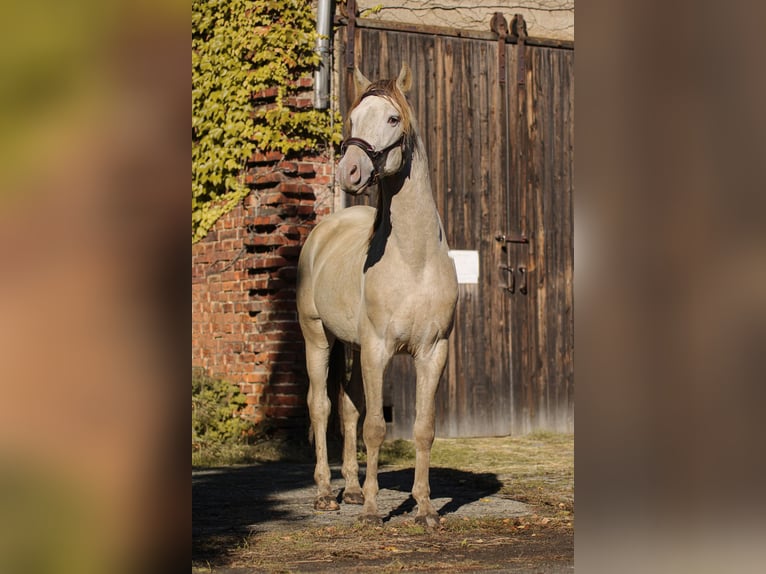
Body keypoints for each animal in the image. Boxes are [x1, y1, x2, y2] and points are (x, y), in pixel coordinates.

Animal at [296, 62, 460, 528]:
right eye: (352, 119)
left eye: (391, 118)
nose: (348, 172)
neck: (414, 259)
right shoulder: (377, 349)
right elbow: (375, 428)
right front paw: (372, 512)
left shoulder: (433, 351)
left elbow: (423, 428)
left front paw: (425, 509)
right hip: (318, 339)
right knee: (321, 407)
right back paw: (326, 494)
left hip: (350, 344)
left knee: (349, 407)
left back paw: (350, 490)